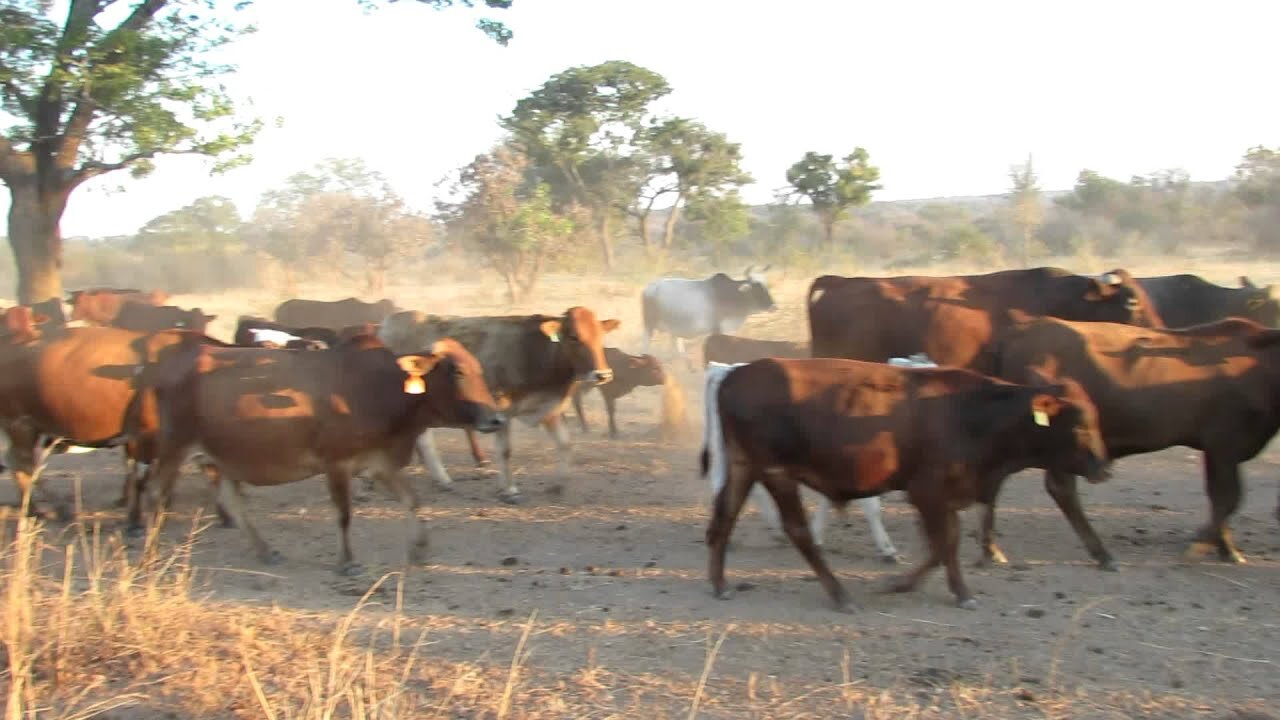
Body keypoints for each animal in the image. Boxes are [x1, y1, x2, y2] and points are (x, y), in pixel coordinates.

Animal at [141, 333, 505, 573]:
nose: (496, 419)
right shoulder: (337, 464)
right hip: (174, 448)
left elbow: (412, 500)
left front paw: (420, 549)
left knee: (232, 502)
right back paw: (150, 552)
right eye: (457, 371)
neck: (381, 388)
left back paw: (264, 550)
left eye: (478, 368)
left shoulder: (380, 463)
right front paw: (347, 562)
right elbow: (343, 514)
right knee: (157, 496)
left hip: (218, 458)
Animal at [378, 307, 618, 503]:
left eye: (600, 336)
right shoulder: (501, 408)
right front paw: (510, 490)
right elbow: (505, 451)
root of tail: (387, 324)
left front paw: (558, 485)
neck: (531, 351)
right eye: (574, 337)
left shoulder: (548, 408)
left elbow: (565, 444)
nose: (603, 375)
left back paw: (441, 479)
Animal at [641, 266, 777, 357]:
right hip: (649, 326)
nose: (773, 306)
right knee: (645, 347)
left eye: (766, 285)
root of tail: (648, 288)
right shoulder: (717, 330)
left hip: (674, 329)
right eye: (756, 287)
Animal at [983, 314, 1280, 571]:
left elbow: (1218, 496)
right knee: (1060, 489)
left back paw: (993, 548)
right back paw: (1101, 553)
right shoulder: (1224, 442)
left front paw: (1224, 547)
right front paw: (1204, 546)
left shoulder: (1215, 449)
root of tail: (1021, 330)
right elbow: (1228, 497)